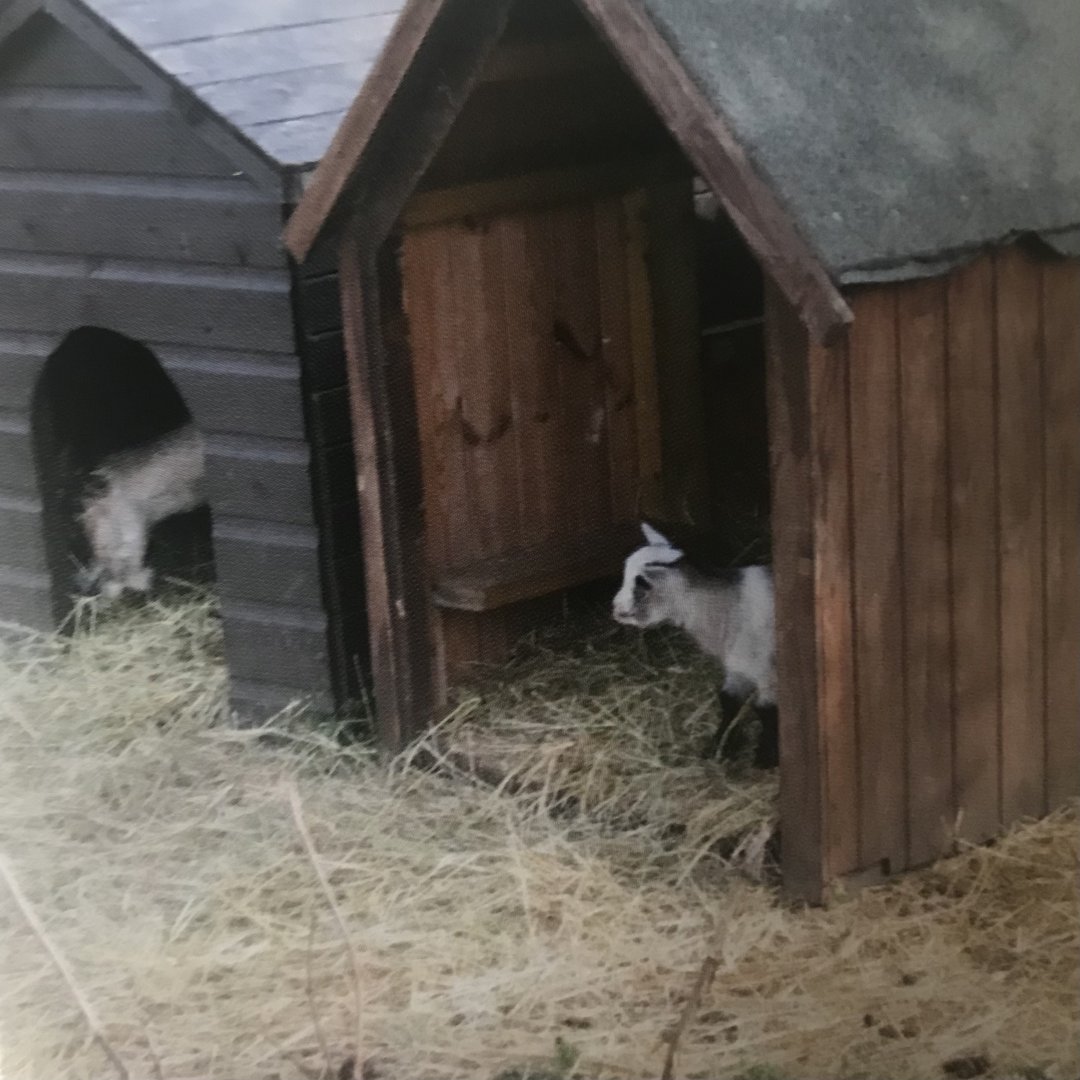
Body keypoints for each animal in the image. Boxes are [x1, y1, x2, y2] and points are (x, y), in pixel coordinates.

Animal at [612, 522, 778, 769]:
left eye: (642, 583)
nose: (616, 608)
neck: (731, 607)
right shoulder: (738, 668)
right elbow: (728, 701)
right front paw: (717, 746)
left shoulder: (769, 672)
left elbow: (766, 711)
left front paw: (767, 757)